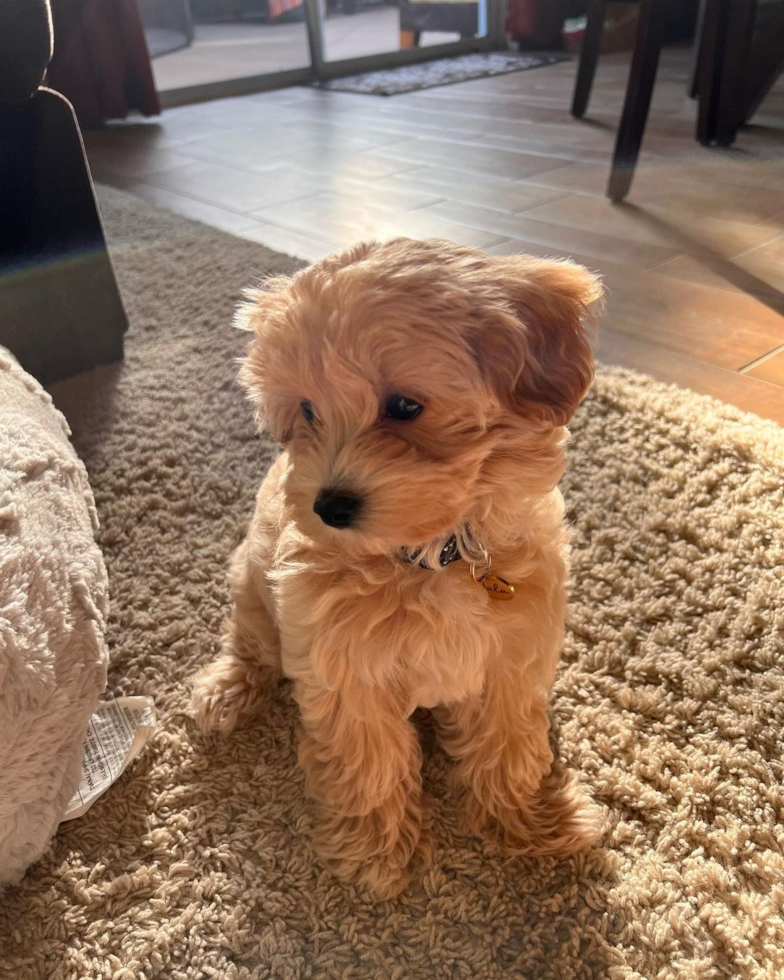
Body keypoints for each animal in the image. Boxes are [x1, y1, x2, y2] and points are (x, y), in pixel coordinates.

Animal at [191, 235, 608, 896]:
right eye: (306, 410)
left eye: (405, 405)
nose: (328, 506)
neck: (431, 557)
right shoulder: (344, 672)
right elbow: (370, 760)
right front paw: (376, 853)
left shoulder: (512, 658)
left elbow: (508, 741)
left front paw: (529, 819)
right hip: (252, 588)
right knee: (251, 643)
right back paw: (229, 690)